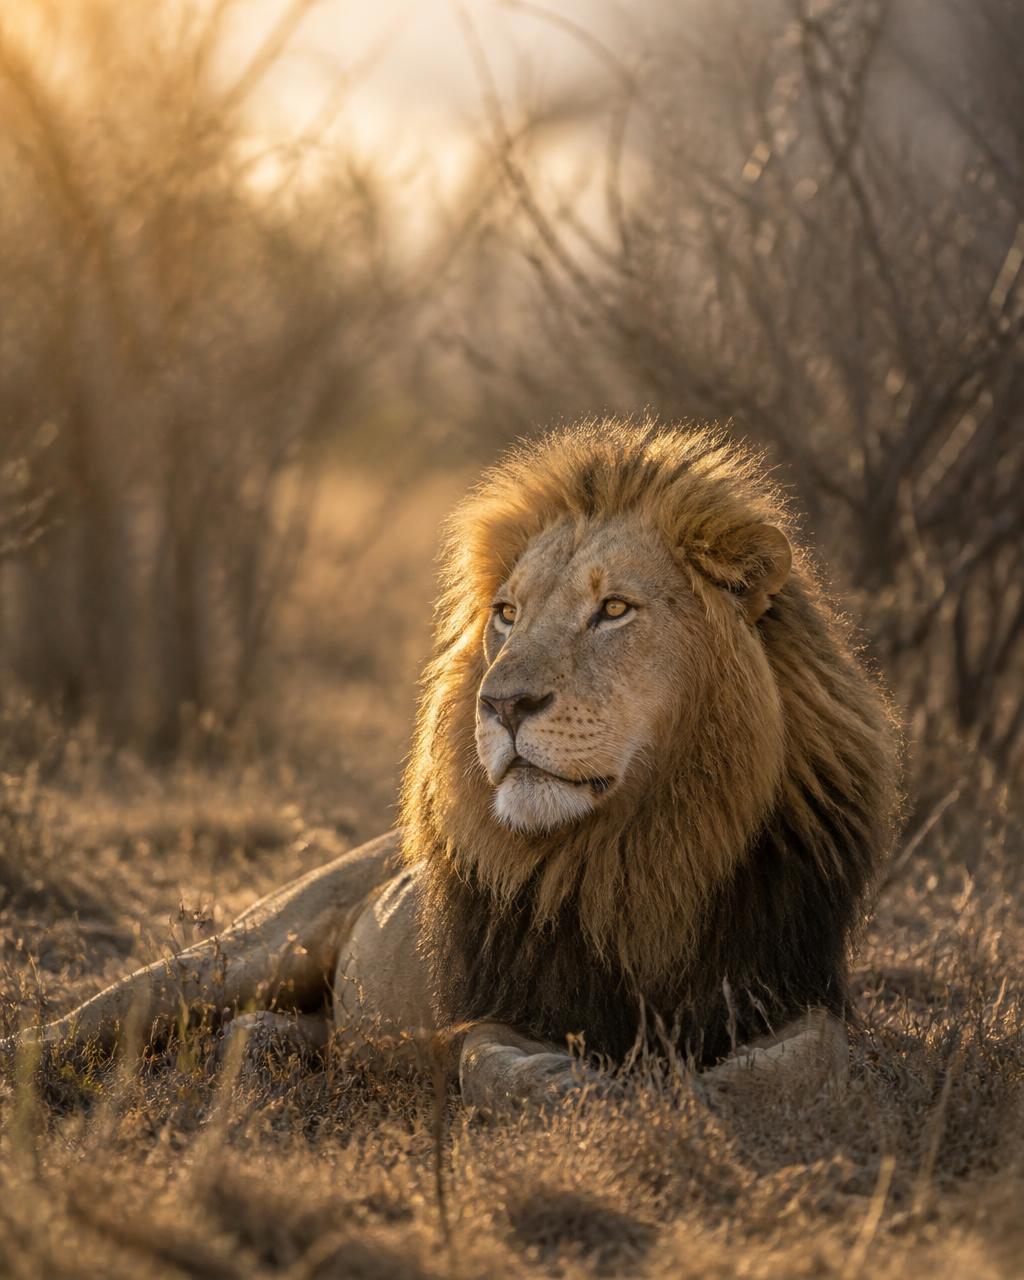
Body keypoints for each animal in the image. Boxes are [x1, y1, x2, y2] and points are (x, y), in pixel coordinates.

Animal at [4, 421, 899, 1111]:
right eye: (507, 614)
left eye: (614, 609)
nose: (502, 705)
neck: (639, 850)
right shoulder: (490, 1003)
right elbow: (492, 1066)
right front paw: (591, 1091)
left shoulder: (788, 984)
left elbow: (812, 1061)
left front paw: (694, 1094)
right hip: (240, 956)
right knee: (106, 1015)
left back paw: (261, 1046)